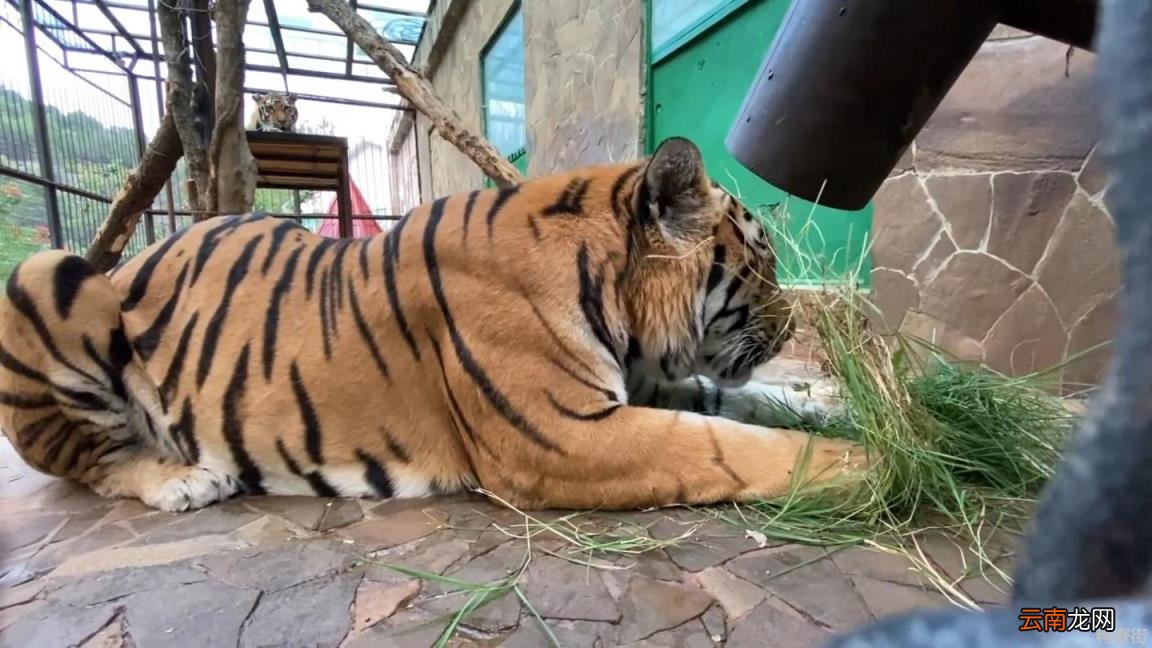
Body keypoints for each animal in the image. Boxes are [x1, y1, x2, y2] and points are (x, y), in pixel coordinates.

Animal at [0, 137, 867, 513]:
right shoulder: (565, 435)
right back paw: (182, 479)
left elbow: (744, 404)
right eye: (765, 260)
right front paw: (879, 462)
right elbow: (730, 446)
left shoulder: (638, 386)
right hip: (46, 276)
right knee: (90, 462)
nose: (795, 323)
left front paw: (845, 406)